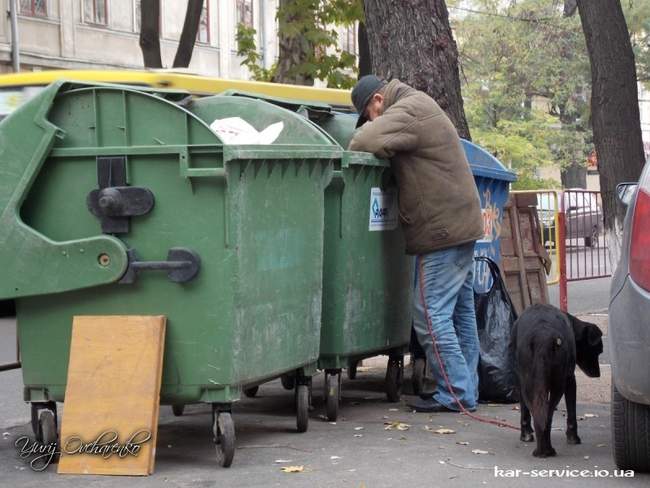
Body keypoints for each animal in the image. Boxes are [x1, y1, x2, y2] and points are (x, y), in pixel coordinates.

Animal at [512, 304, 604, 458]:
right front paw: (573, 437)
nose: (598, 374)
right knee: (547, 414)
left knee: (538, 413)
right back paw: (546, 450)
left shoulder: (519, 380)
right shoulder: (570, 379)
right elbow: (571, 412)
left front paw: (526, 433)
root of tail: (542, 337)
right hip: (558, 384)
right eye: (598, 350)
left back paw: (541, 448)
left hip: (528, 384)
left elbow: (525, 411)